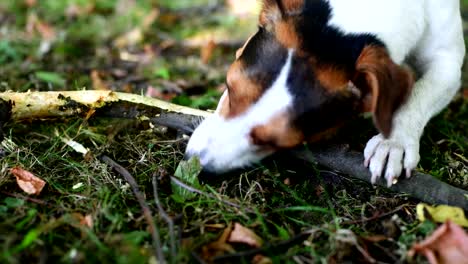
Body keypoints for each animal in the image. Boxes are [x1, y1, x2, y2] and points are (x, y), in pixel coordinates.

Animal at [186, 0, 464, 186]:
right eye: (229, 88)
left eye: (274, 142)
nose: (194, 163)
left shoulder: (448, 62)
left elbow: (419, 95)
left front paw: (393, 142)